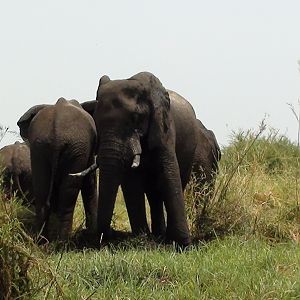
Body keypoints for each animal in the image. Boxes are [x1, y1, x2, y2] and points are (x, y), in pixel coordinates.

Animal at [16, 99, 97, 241]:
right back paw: (63, 242)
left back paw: (42, 241)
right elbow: (89, 182)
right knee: (68, 194)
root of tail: (56, 132)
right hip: (76, 147)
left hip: (40, 147)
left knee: (42, 190)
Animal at [79, 71, 203, 247]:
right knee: (153, 193)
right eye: (96, 120)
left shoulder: (164, 128)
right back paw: (158, 236)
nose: (104, 238)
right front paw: (141, 242)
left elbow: (169, 174)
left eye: (136, 117)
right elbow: (132, 183)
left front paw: (182, 245)